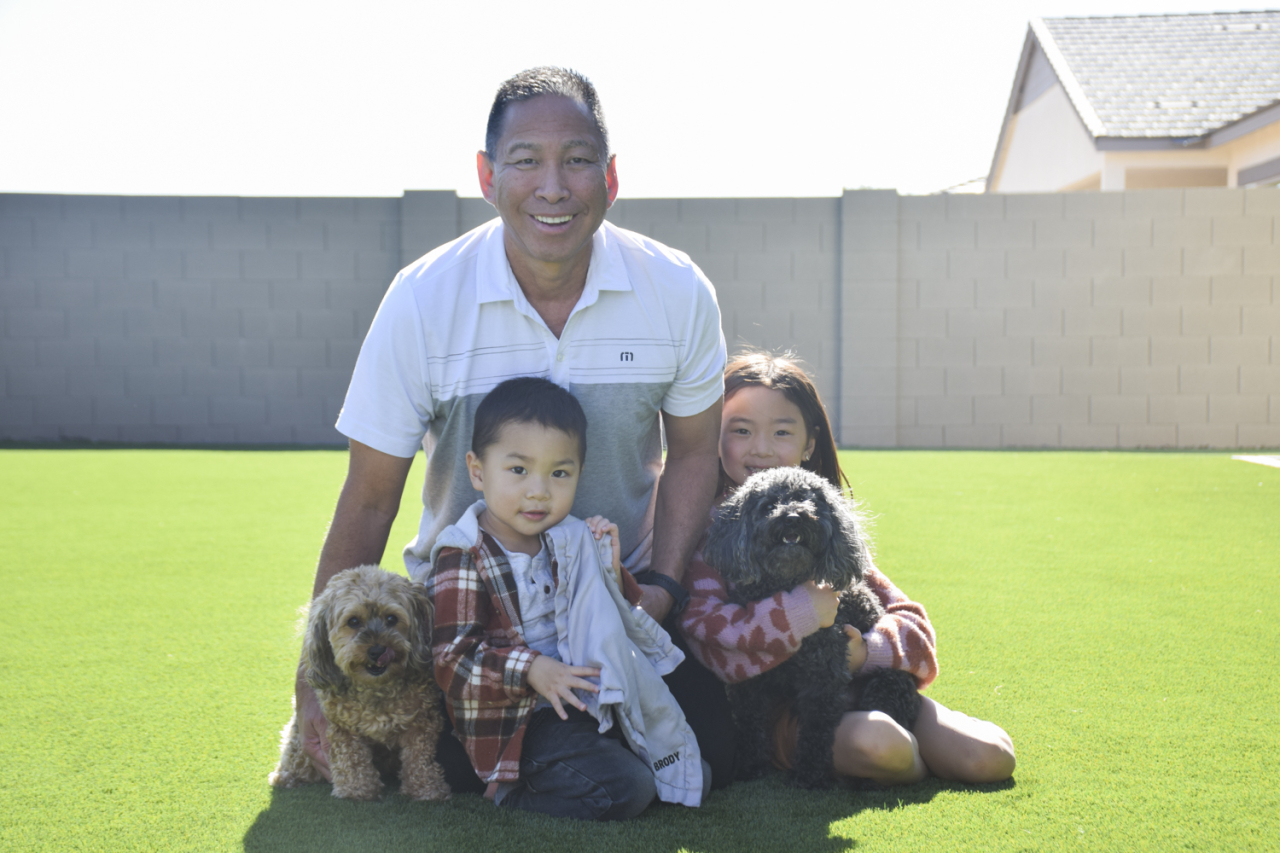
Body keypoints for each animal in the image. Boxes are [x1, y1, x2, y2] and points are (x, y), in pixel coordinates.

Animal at [264, 563, 450, 799]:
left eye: (392, 618)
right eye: (353, 621)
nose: (377, 650)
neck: (376, 689)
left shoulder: (423, 721)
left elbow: (419, 758)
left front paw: (426, 789)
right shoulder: (341, 727)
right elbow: (351, 759)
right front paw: (357, 791)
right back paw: (285, 777)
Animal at [701, 466, 921, 783]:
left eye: (810, 501)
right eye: (769, 505)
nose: (793, 516)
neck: (786, 583)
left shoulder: (824, 674)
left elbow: (817, 726)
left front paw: (811, 773)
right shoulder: (748, 675)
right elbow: (749, 722)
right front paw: (751, 764)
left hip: (886, 685)